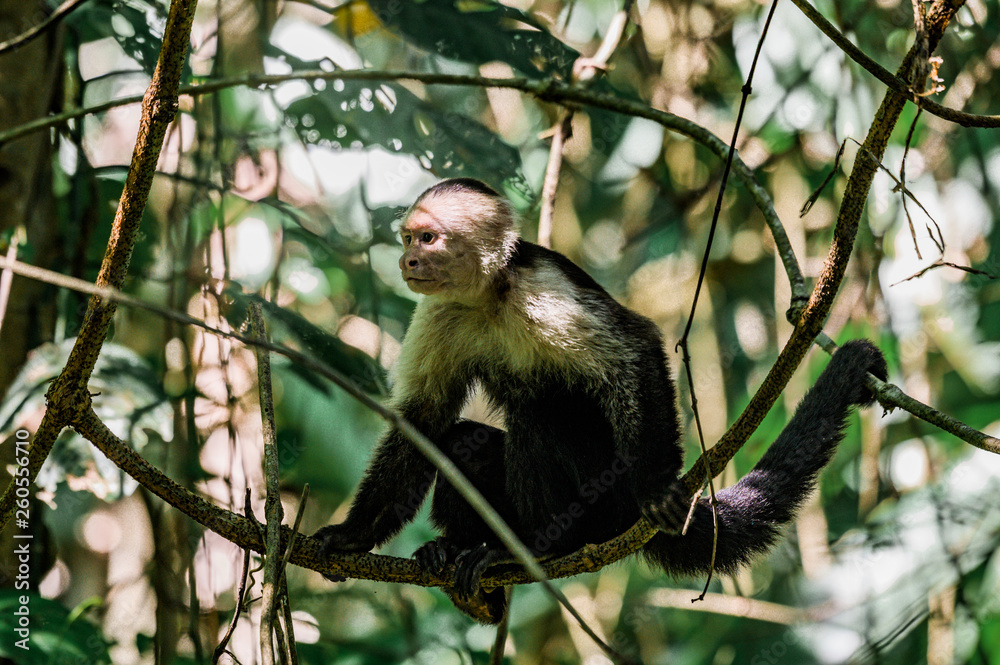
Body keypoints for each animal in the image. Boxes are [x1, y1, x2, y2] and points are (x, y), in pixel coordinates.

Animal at [314, 177, 888, 623]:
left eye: (428, 238)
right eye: (409, 237)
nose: (407, 259)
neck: (490, 295)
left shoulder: (543, 289)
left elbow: (634, 350)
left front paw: (657, 487)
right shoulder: (441, 311)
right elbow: (424, 419)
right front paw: (352, 535)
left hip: (605, 495)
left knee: (542, 415)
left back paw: (539, 548)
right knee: (462, 443)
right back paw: (461, 552)